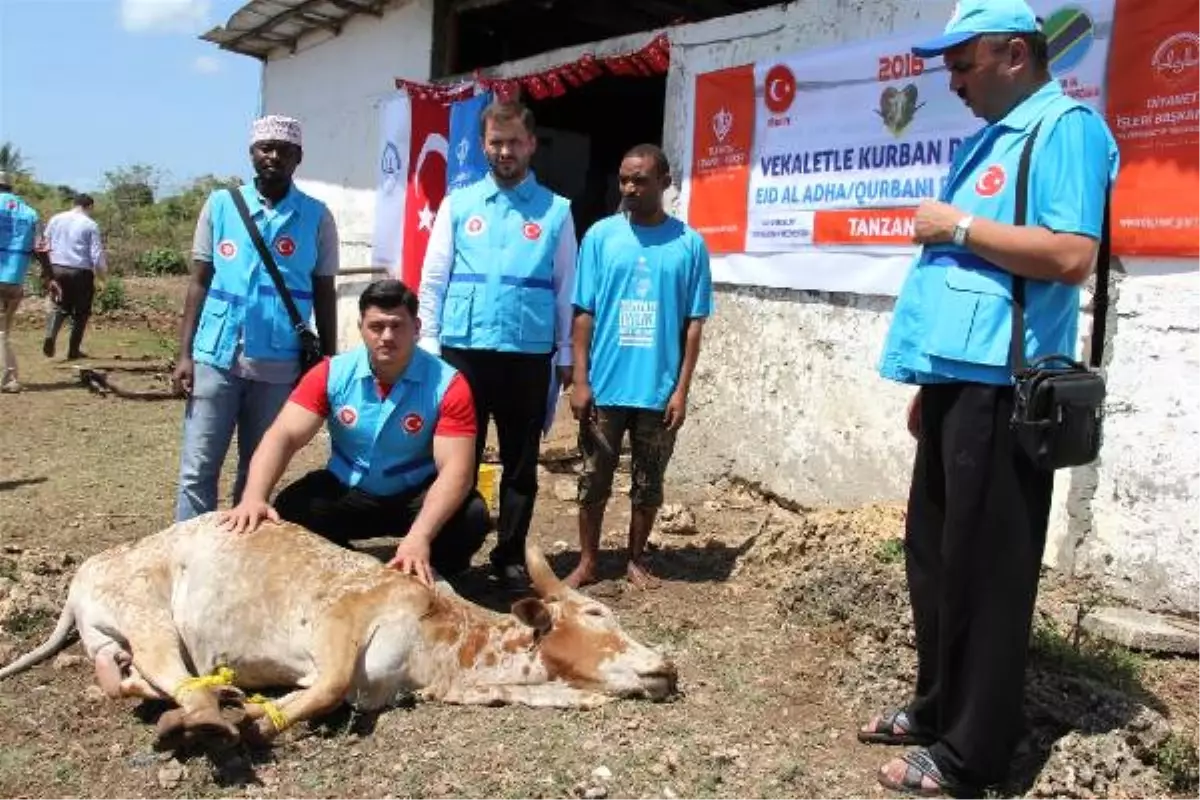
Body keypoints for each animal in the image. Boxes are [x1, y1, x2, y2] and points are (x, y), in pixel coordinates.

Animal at [0, 515, 676, 748]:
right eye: (598, 616)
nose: (665, 666)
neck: (442, 645)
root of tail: (84, 574)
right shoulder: (338, 625)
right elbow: (321, 692)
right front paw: (258, 720)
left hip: (114, 637)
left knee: (123, 679)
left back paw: (220, 694)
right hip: (149, 616)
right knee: (171, 676)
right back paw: (213, 714)